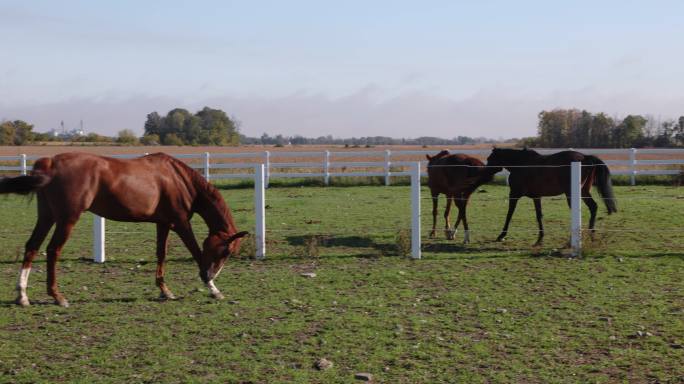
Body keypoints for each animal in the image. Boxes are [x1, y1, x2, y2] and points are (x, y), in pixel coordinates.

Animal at [0, 152, 250, 306]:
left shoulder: (163, 224)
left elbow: (161, 254)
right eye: (225, 252)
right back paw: (57, 296)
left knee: (32, 247)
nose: (210, 274)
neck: (178, 179)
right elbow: (196, 252)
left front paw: (165, 290)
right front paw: (213, 289)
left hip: (47, 217)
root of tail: (50, 162)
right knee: (53, 251)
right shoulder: (180, 223)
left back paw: (22, 295)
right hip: (67, 219)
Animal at [484, 147, 616, 246]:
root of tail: (585, 157)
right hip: (583, 192)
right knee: (593, 207)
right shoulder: (536, 197)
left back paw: (573, 240)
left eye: (489, 159)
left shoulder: (514, 194)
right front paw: (540, 239)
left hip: (572, 194)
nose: (485, 174)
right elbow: (539, 216)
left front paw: (501, 235)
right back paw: (591, 235)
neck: (520, 164)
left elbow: (509, 214)